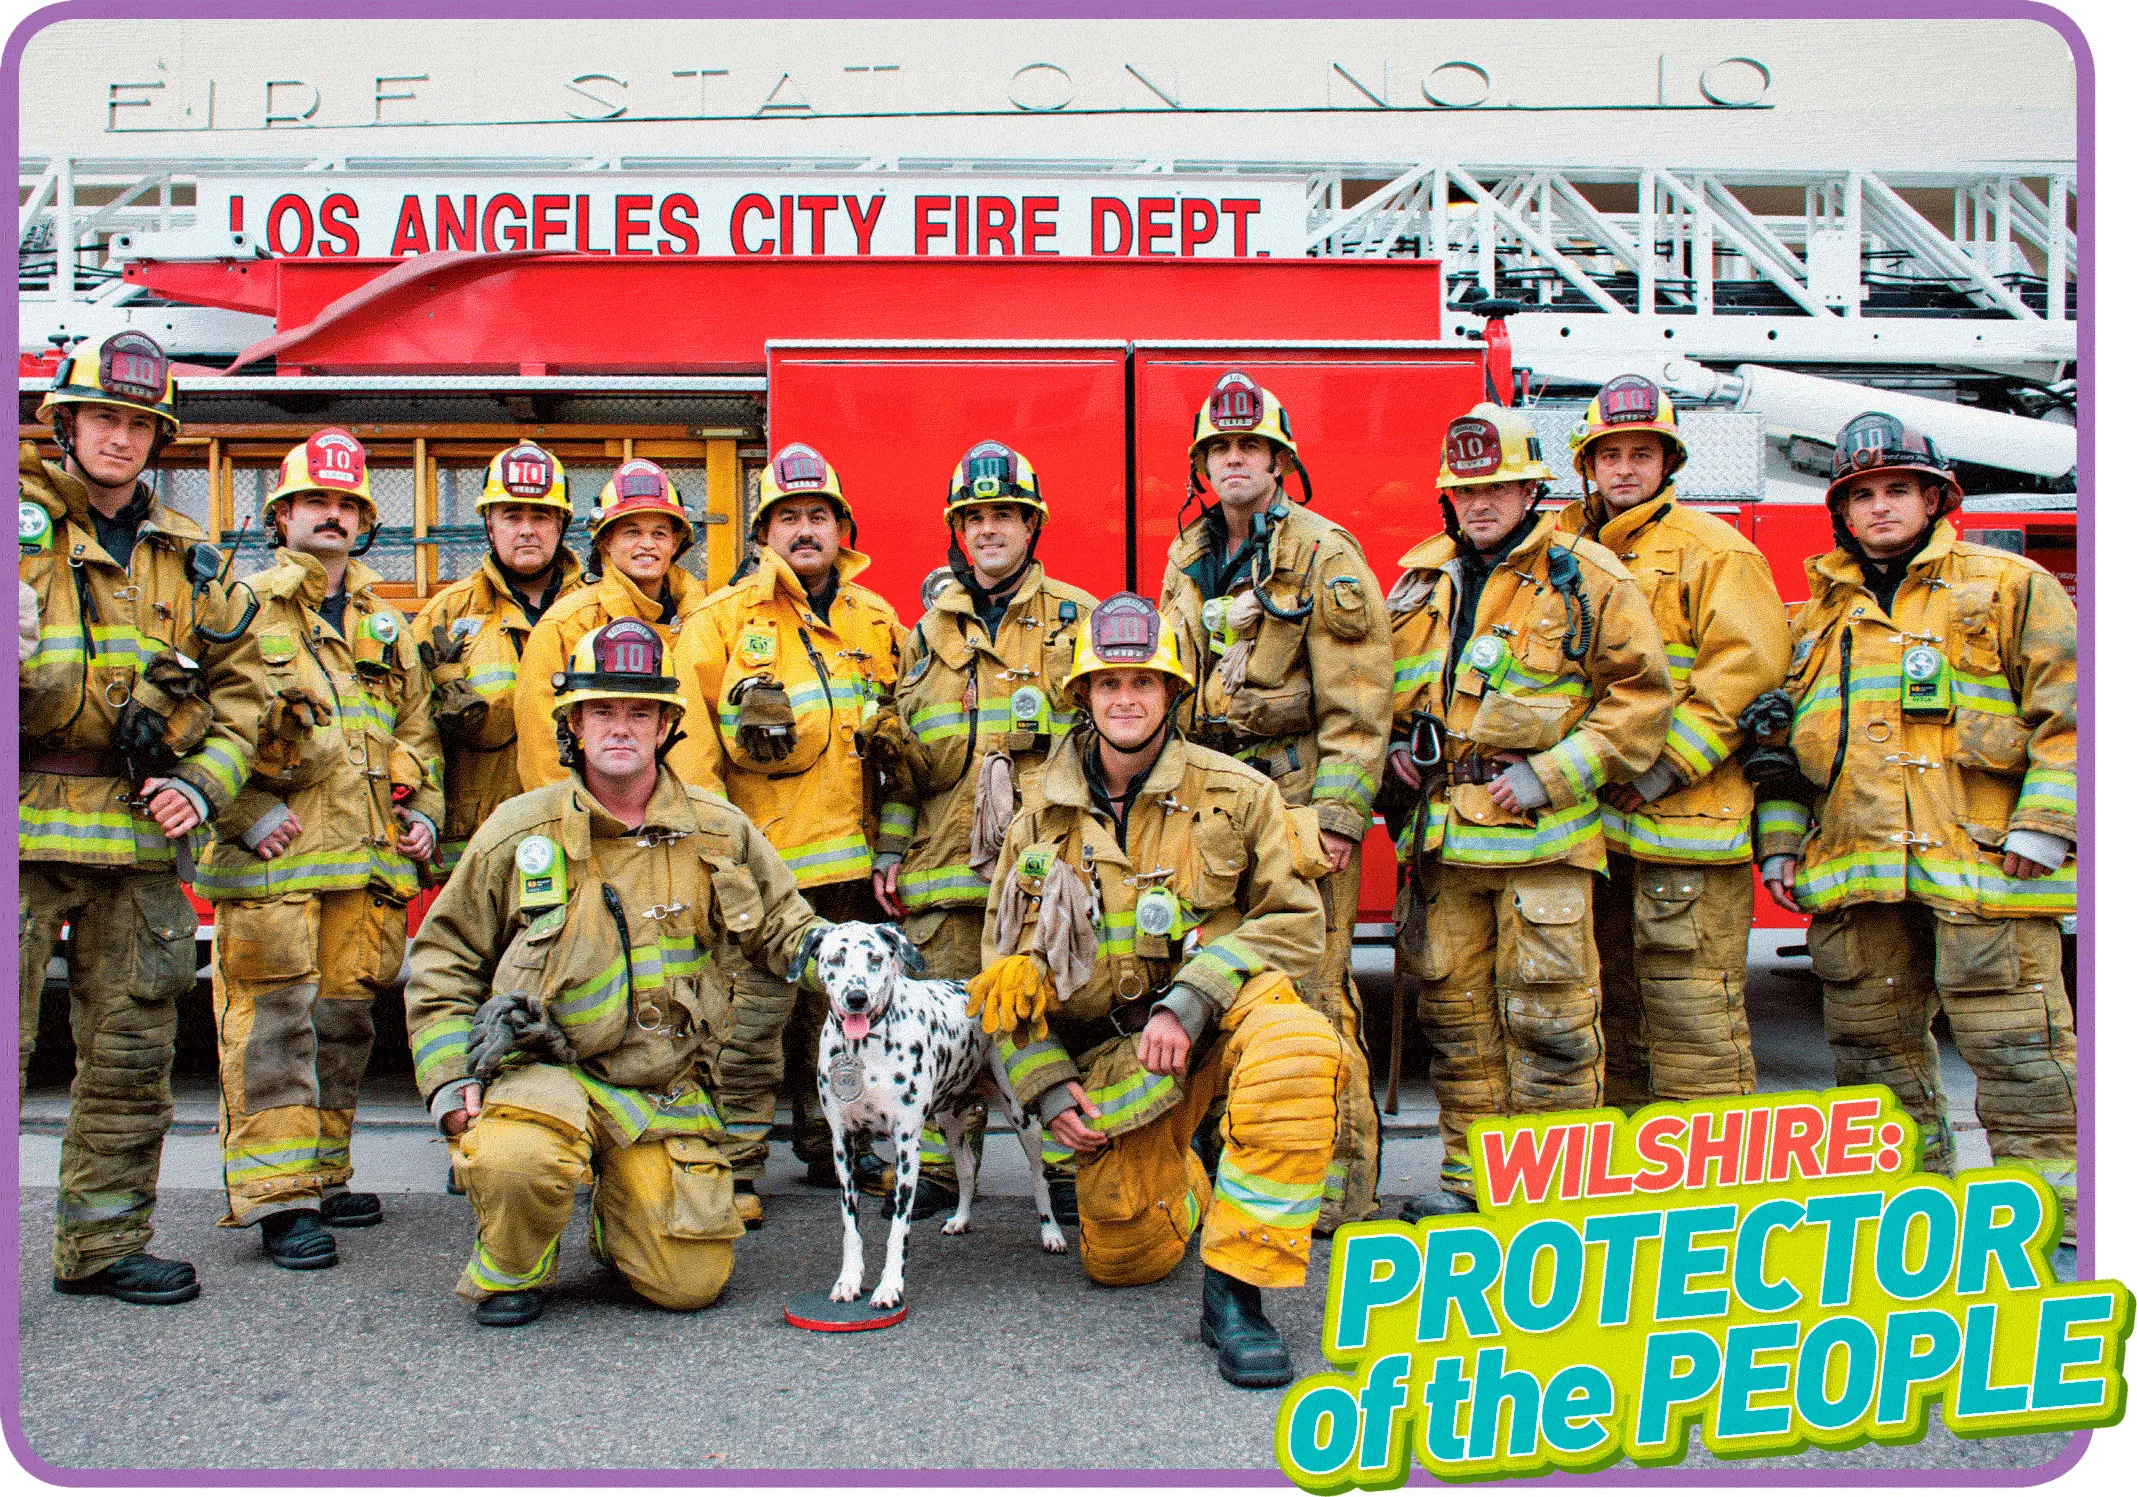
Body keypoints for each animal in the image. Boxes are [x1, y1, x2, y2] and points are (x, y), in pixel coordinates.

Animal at [807, 918, 1059, 1298]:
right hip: (949, 1122)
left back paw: (1052, 1232)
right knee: (967, 1168)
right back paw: (961, 1218)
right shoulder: (843, 1145)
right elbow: (850, 1225)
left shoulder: (906, 1144)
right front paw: (849, 1279)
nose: (856, 998)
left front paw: (889, 1286)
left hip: (1021, 1117)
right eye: (835, 958)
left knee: (1038, 1175)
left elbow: (899, 1226)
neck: (864, 1050)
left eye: (875, 958)